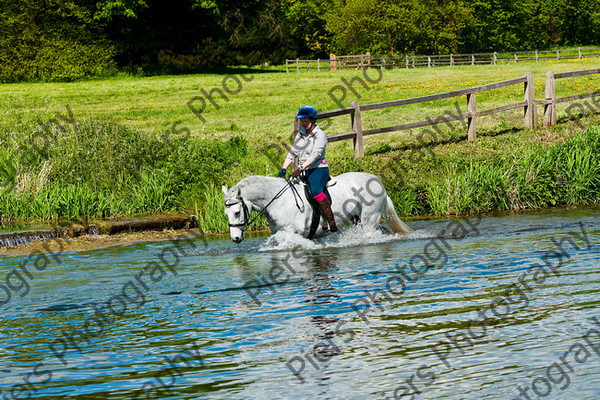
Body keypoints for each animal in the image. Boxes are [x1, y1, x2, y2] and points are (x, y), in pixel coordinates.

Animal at [221, 173, 412, 242]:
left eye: (237, 212)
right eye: (226, 213)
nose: (235, 239)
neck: (278, 200)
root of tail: (379, 182)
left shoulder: (293, 230)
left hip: (369, 219)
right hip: (360, 219)